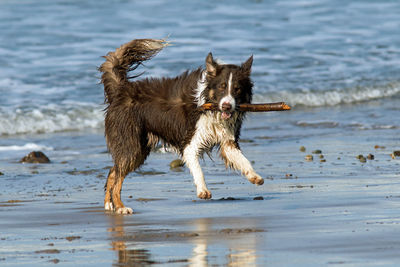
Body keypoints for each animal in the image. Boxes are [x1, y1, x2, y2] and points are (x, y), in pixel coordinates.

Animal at [99, 38, 264, 216]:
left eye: (237, 89)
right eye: (221, 87)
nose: (227, 106)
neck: (210, 107)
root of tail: (120, 90)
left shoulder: (227, 141)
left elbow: (243, 160)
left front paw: (254, 176)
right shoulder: (191, 141)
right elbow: (197, 168)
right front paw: (203, 190)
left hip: (139, 148)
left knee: (113, 172)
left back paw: (109, 205)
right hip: (131, 143)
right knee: (118, 175)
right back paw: (120, 207)